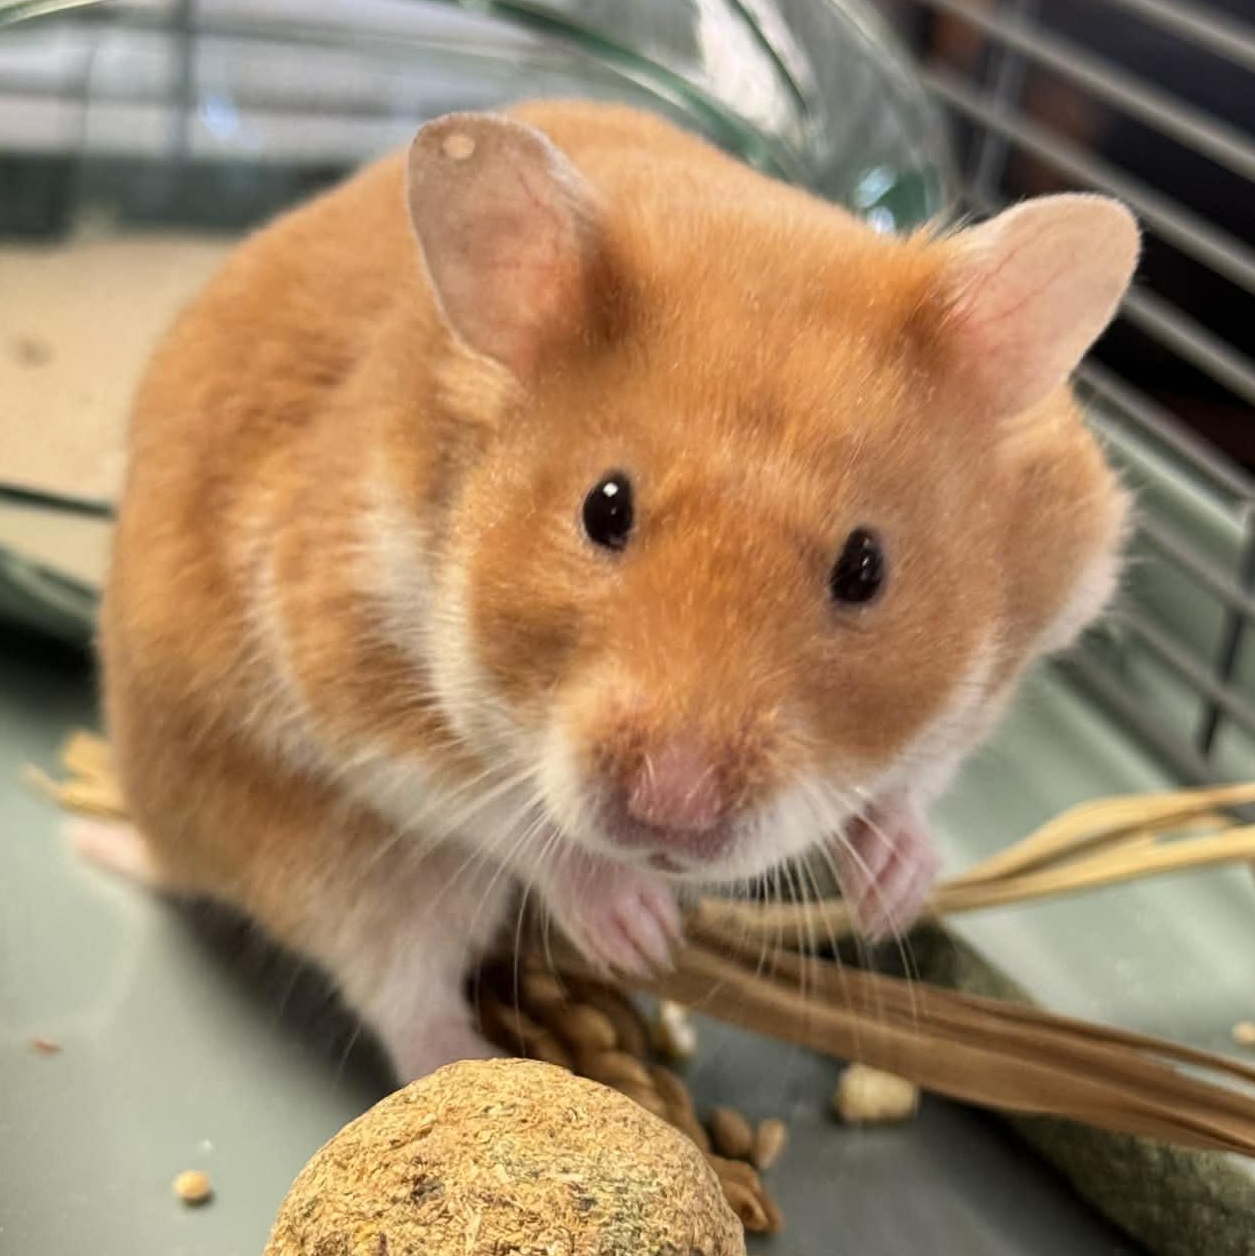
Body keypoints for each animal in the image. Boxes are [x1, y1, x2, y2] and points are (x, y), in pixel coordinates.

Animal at [93, 100, 1139, 1082]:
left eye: (865, 567)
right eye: (604, 509)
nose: (672, 814)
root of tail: (158, 828)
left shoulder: (1045, 608)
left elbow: (919, 775)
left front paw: (891, 889)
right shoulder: (336, 653)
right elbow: (505, 813)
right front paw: (638, 927)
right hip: (327, 857)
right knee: (401, 987)